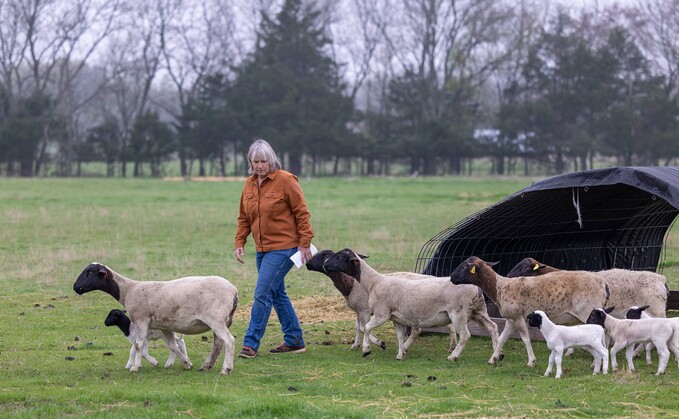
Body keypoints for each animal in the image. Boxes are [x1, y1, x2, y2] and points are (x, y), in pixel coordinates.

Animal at [73, 264, 239, 376]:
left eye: (90, 272)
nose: (75, 287)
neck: (128, 291)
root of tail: (234, 290)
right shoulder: (165, 326)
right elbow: (173, 346)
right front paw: (186, 363)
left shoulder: (141, 320)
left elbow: (138, 345)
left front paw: (135, 367)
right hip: (220, 320)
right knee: (218, 344)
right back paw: (206, 365)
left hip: (216, 319)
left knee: (229, 341)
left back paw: (226, 369)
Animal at [318, 249, 500, 364]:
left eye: (340, 257)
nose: (325, 264)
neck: (374, 283)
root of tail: (475, 287)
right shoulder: (396, 318)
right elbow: (399, 336)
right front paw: (400, 354)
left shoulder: (382, 314)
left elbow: (366, 328)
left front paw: (366, 349)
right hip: (479, 311)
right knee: (493, 327)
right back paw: (496, 354)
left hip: (458, 313)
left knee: (465, 335)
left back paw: (453, 356)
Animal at [452, 256, 612, 368]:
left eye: (465, 266)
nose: (452, 277)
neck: (499, 287)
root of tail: (604, 284)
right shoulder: (511, 319)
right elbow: (502, 338)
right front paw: (493, 359)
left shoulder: (519, 317)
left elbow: (526, 339)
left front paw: (531, 362)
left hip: (589, 312)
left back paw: (596, 362)